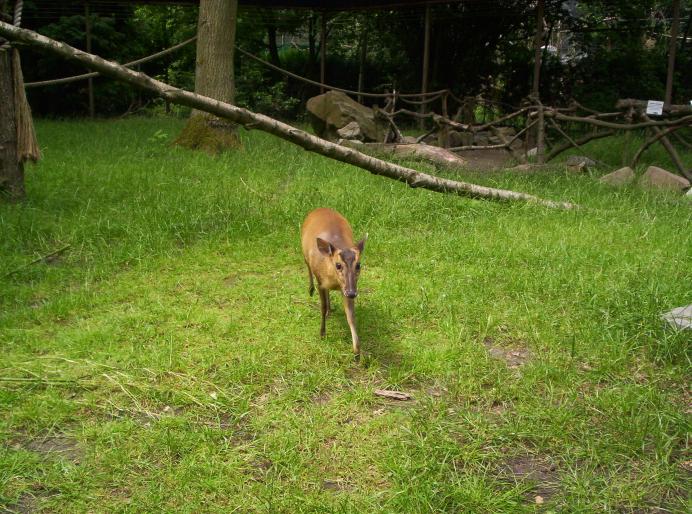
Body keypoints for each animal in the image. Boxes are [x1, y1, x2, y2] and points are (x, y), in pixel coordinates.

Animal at [302, 206, 368, 354]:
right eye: (338, 265)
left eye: (358, 265)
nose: (352, 293)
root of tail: (320, 208)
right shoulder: (321, 282)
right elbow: (322, 306)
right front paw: (322, 334)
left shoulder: (346, 288)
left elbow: (351, 316)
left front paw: (357, 351)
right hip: (303, 250)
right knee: (307, 265)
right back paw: (310, 290)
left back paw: (329, 310)